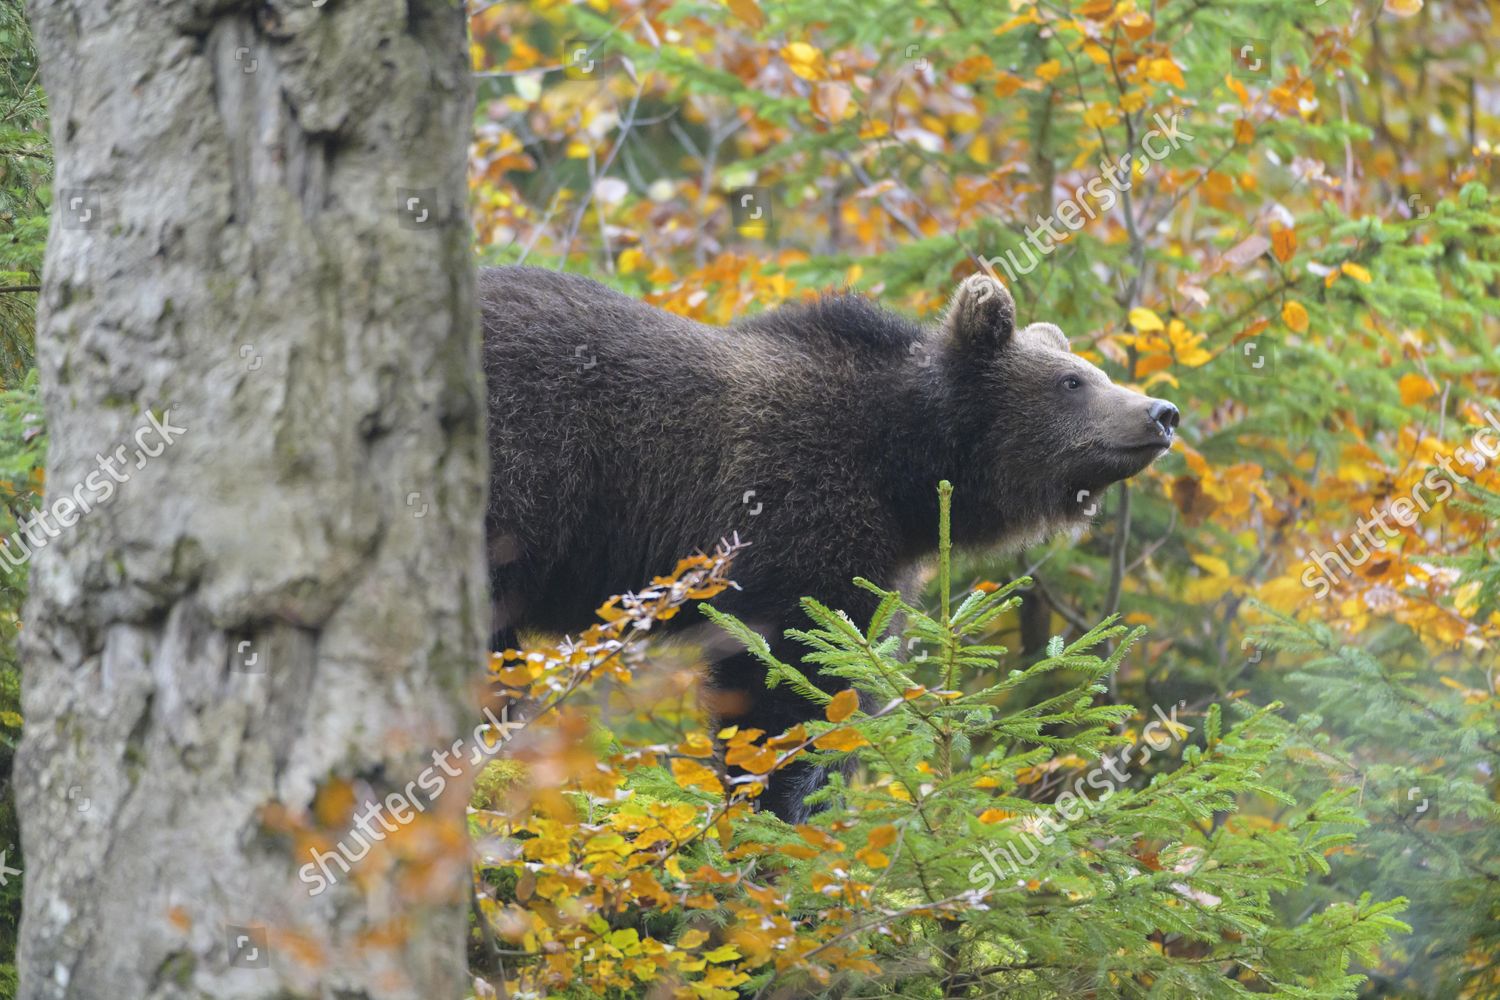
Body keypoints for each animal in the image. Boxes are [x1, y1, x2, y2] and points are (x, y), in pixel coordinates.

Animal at [477, 265, 1170, 821]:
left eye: (1096, 371)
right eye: (1072, 382)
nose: (1162, 412)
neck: (902, 471)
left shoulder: (881, 567)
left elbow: (847, 673)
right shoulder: (794, 518)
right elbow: (789, 682)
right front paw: (778, 802)